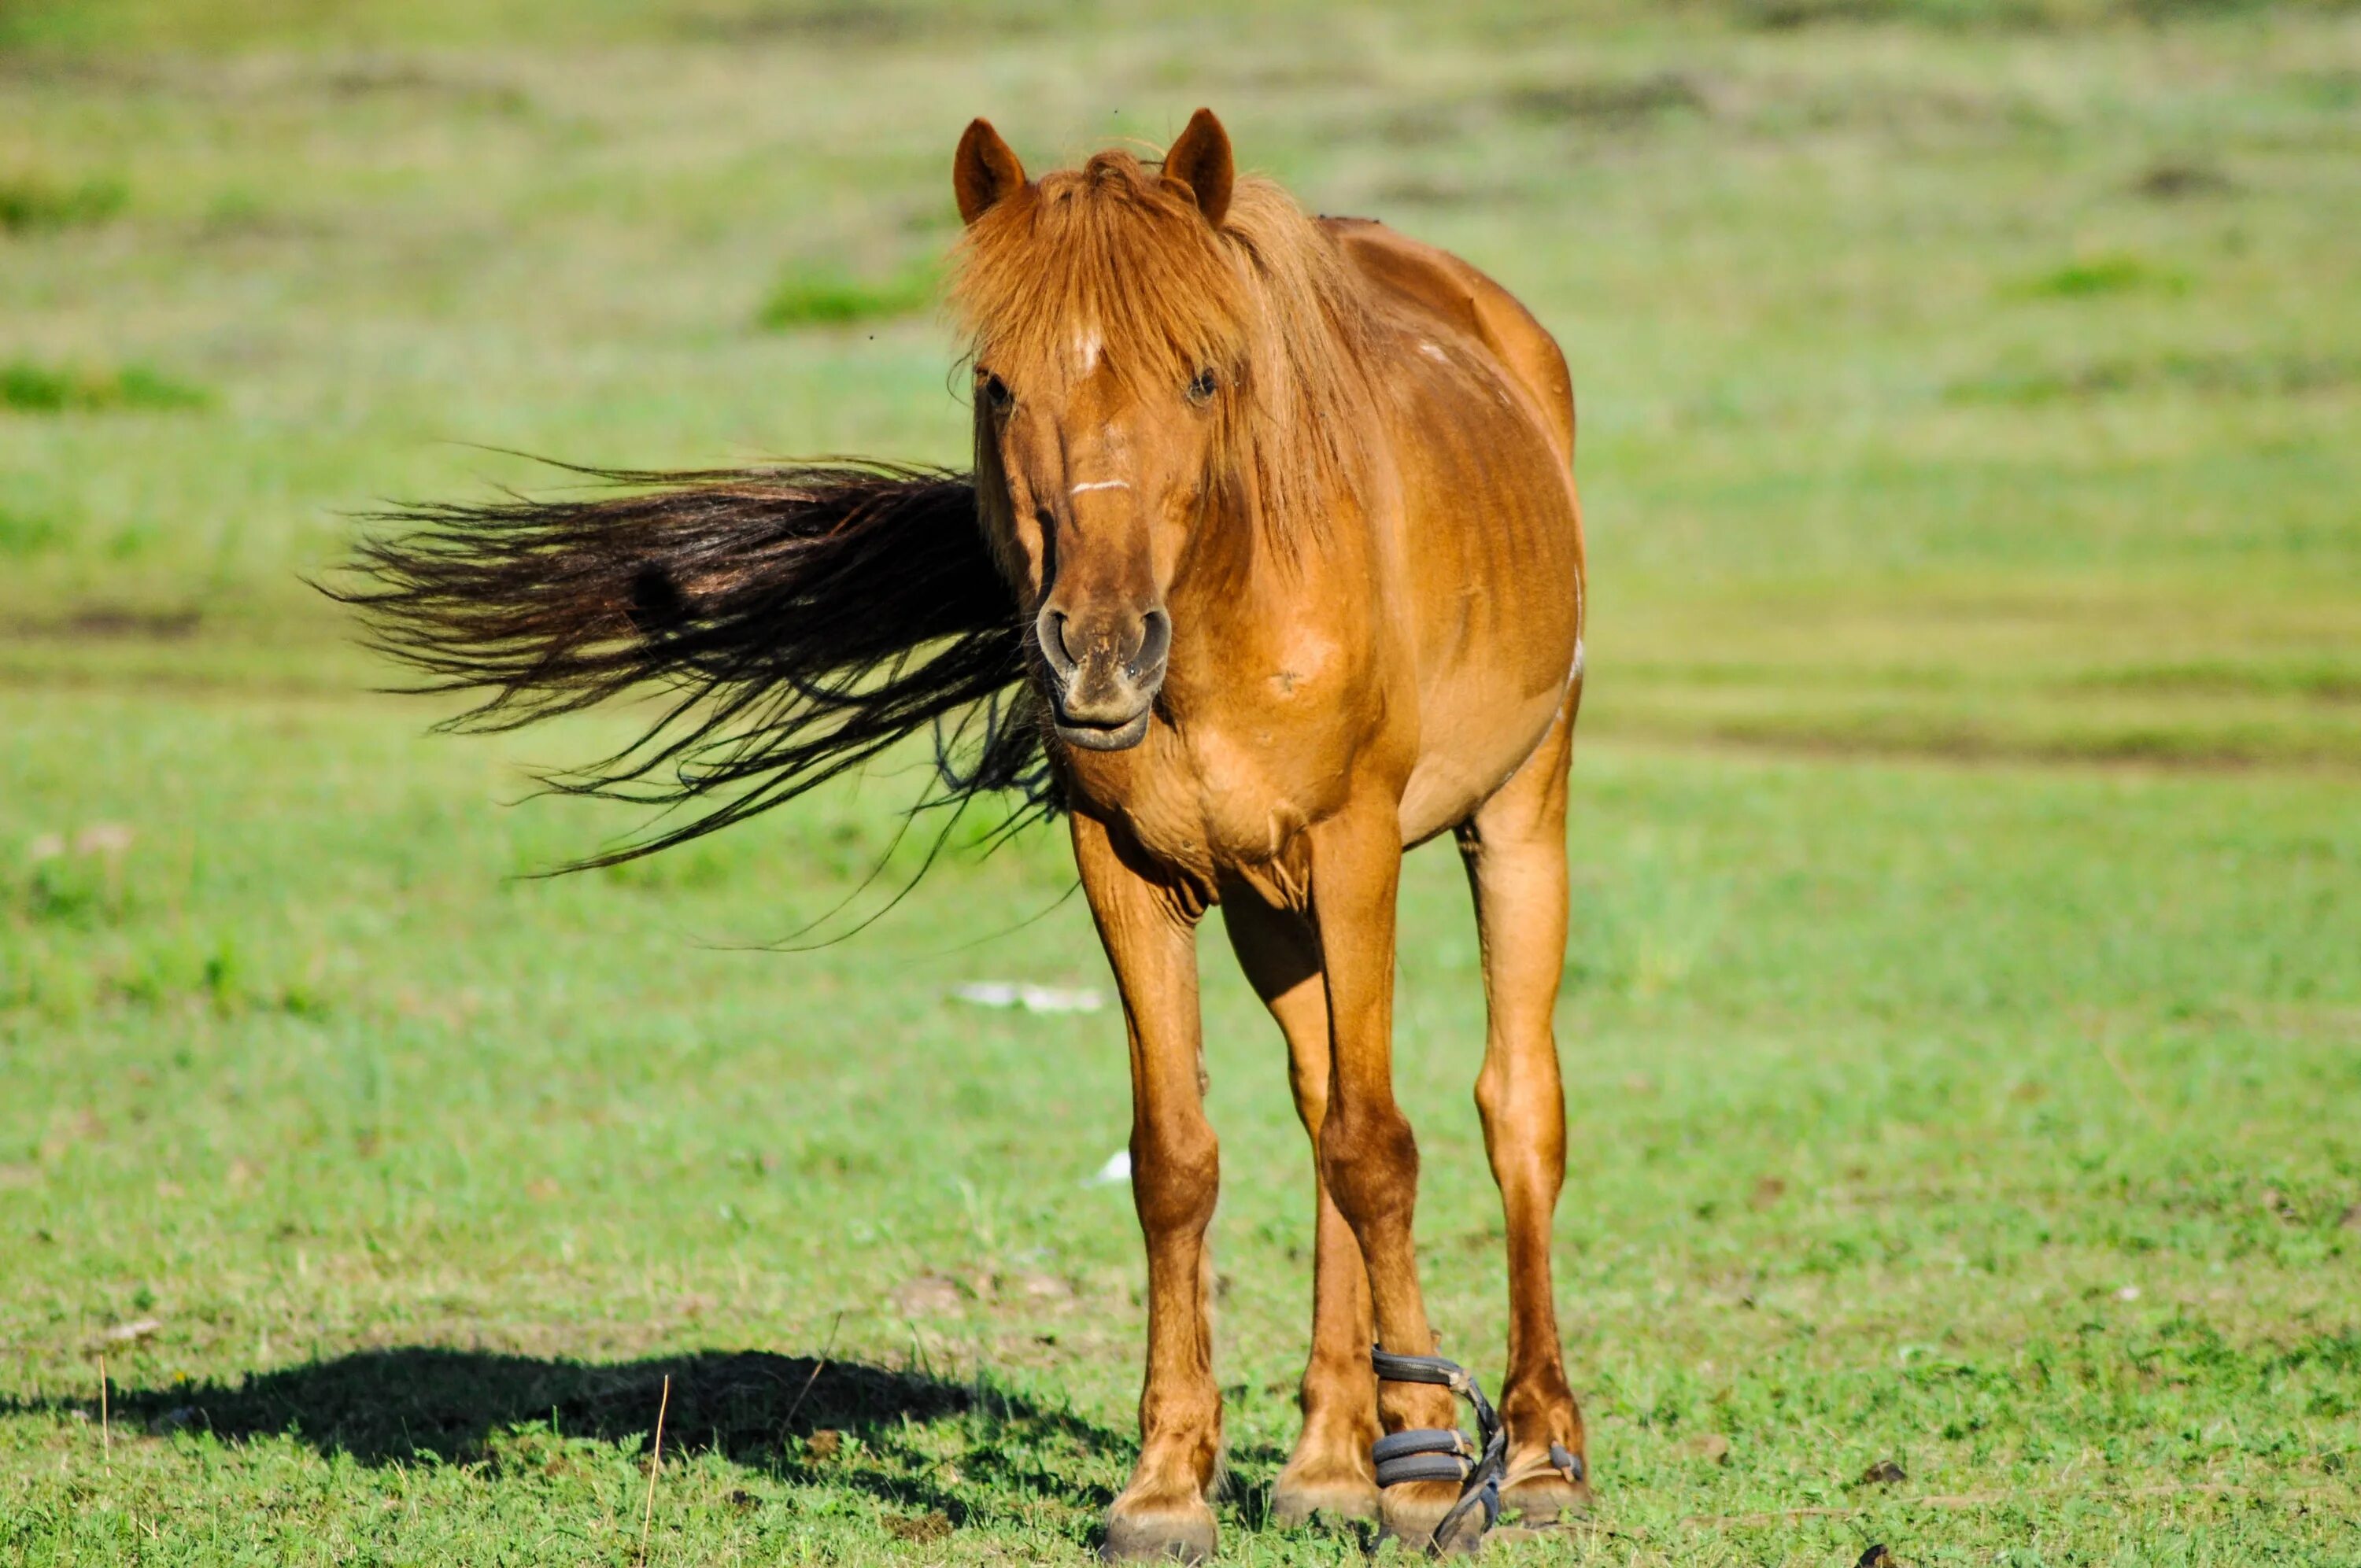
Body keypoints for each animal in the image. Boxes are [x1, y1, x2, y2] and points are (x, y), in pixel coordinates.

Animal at [338, 107, 1587, 1558]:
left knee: (1514, 1109)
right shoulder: (1132, 867)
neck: (1229, 609)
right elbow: (1182, 1160)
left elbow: (1381, 1150)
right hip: (1272, 907)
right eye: (998, 385)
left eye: (1205, 376)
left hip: (1514, 814)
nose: (1097, 653)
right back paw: (1331, 1457)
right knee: (1320, 1093)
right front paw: (1168, 1483)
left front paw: (1434, 1471)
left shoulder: (1355, 846)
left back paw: (1535, 1454)